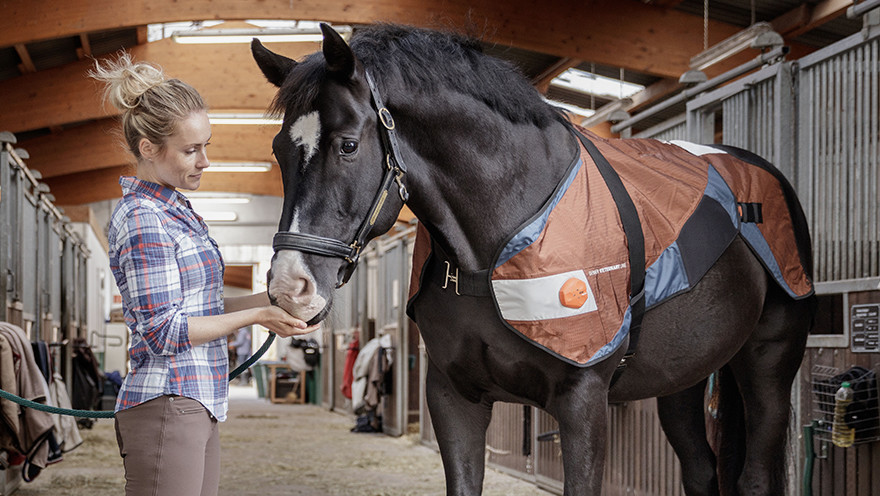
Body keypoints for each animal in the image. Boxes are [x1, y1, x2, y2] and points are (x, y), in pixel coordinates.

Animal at [254, 24, 820, 496]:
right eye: (281, 150)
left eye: (348, 145)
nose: (289, 286)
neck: (493, 245)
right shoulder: (453, 397)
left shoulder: (583, 402)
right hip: (683, 378)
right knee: (701, 470)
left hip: (769, 363)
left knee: (754, 476)